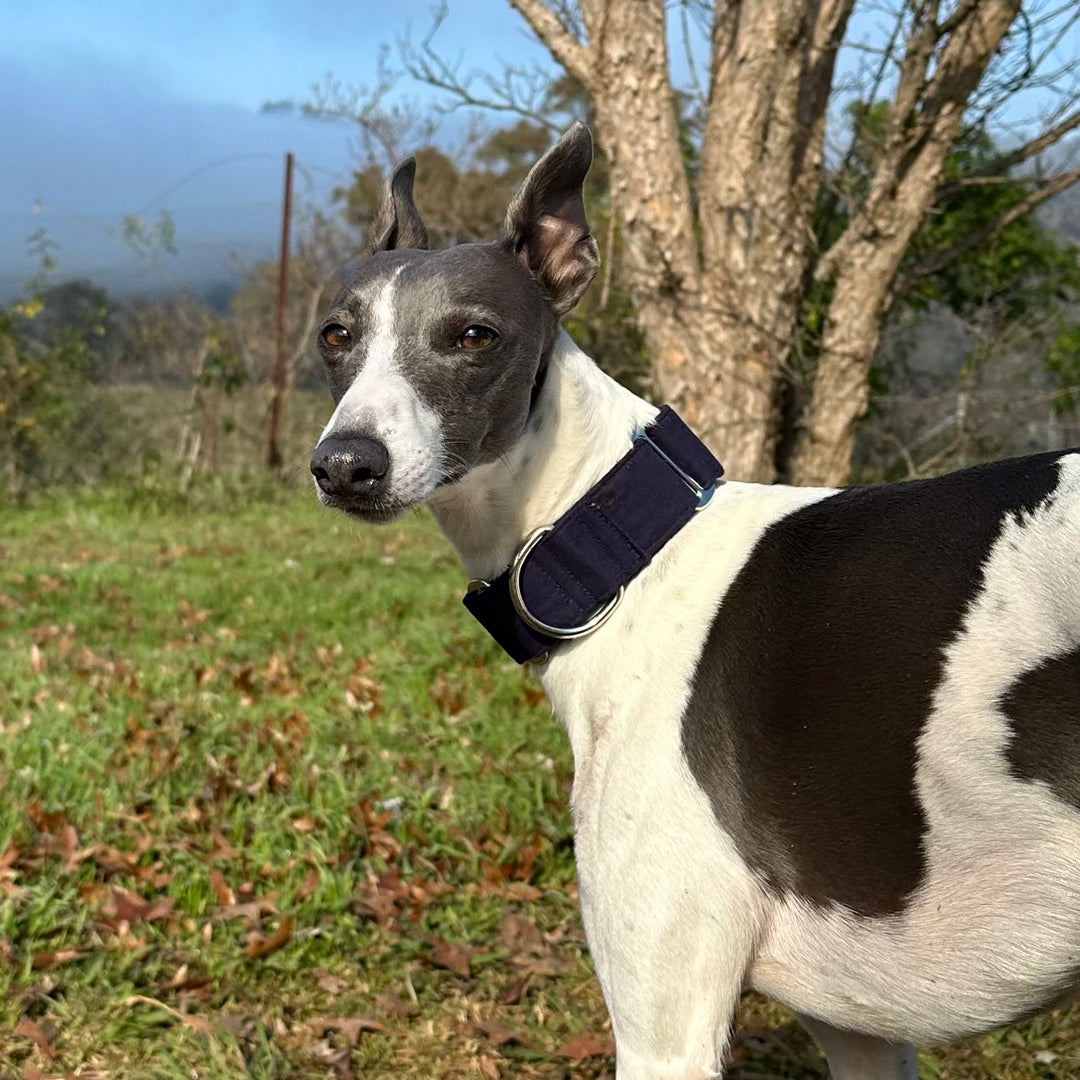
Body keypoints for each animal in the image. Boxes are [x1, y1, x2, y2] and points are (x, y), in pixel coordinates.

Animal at [308, 122, 1080, 1075]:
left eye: (474, 335)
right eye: (336, 333)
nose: (346, 465)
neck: (628, 550)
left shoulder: (666, 1027)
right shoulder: (863, 1033)